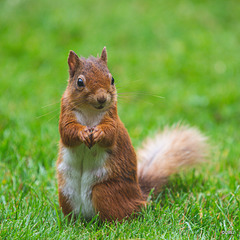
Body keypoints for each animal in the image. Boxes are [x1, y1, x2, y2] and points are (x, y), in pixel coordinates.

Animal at [56, 46, 208, 221]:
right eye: (80, 82)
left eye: (112, 79)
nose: (102, 98)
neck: (90, 112)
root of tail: (139, 197)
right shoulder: (66, 114)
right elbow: (67, 132)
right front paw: (82, 133)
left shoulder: (112, 119)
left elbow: (110, 134)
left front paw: (99, 133)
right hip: (65, 194)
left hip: (104, 192)